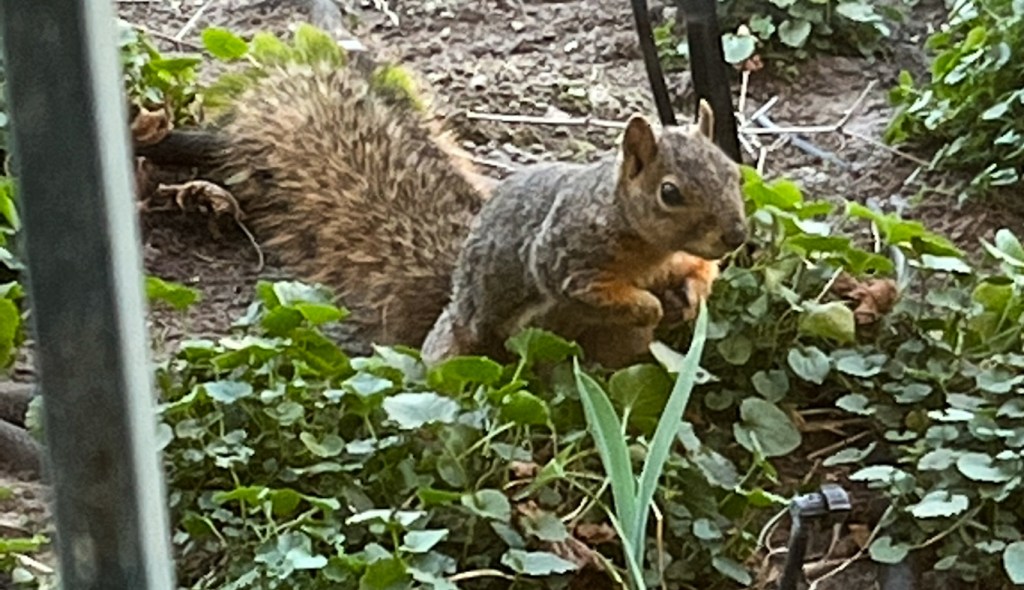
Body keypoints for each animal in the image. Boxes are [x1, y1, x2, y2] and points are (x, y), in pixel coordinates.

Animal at [421, 101, 747, 368]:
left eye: (734, 172)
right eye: (669, 193)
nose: (737, 236)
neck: (656, 251)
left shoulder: (683, 258)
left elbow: (702, 269)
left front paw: (692, 299)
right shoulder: (569, 262)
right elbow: (596, 292)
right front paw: (654, 308)